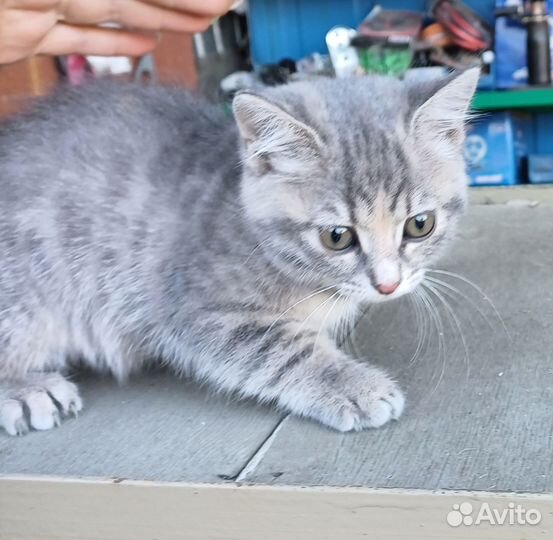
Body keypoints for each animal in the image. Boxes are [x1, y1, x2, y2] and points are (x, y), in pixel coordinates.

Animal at [0, 69, 478, 436]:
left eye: (420, 225)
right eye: (337, 237)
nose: (388, 284)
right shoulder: (193, 307)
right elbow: (283, 347)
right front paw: (350, 383)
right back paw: (28, 389)